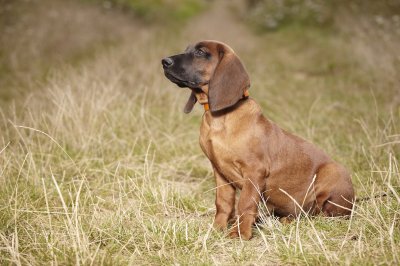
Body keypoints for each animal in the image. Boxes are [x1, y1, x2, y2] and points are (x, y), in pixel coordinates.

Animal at [161, 40, 354, 240]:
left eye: (200, 52)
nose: (164, 61)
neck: (220, 118)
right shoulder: (220, 171)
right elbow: (223, 202)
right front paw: (217, 228)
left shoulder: (254, 172)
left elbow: (245, 204)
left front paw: (239, 233)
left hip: (331, 173)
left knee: (320, 214)